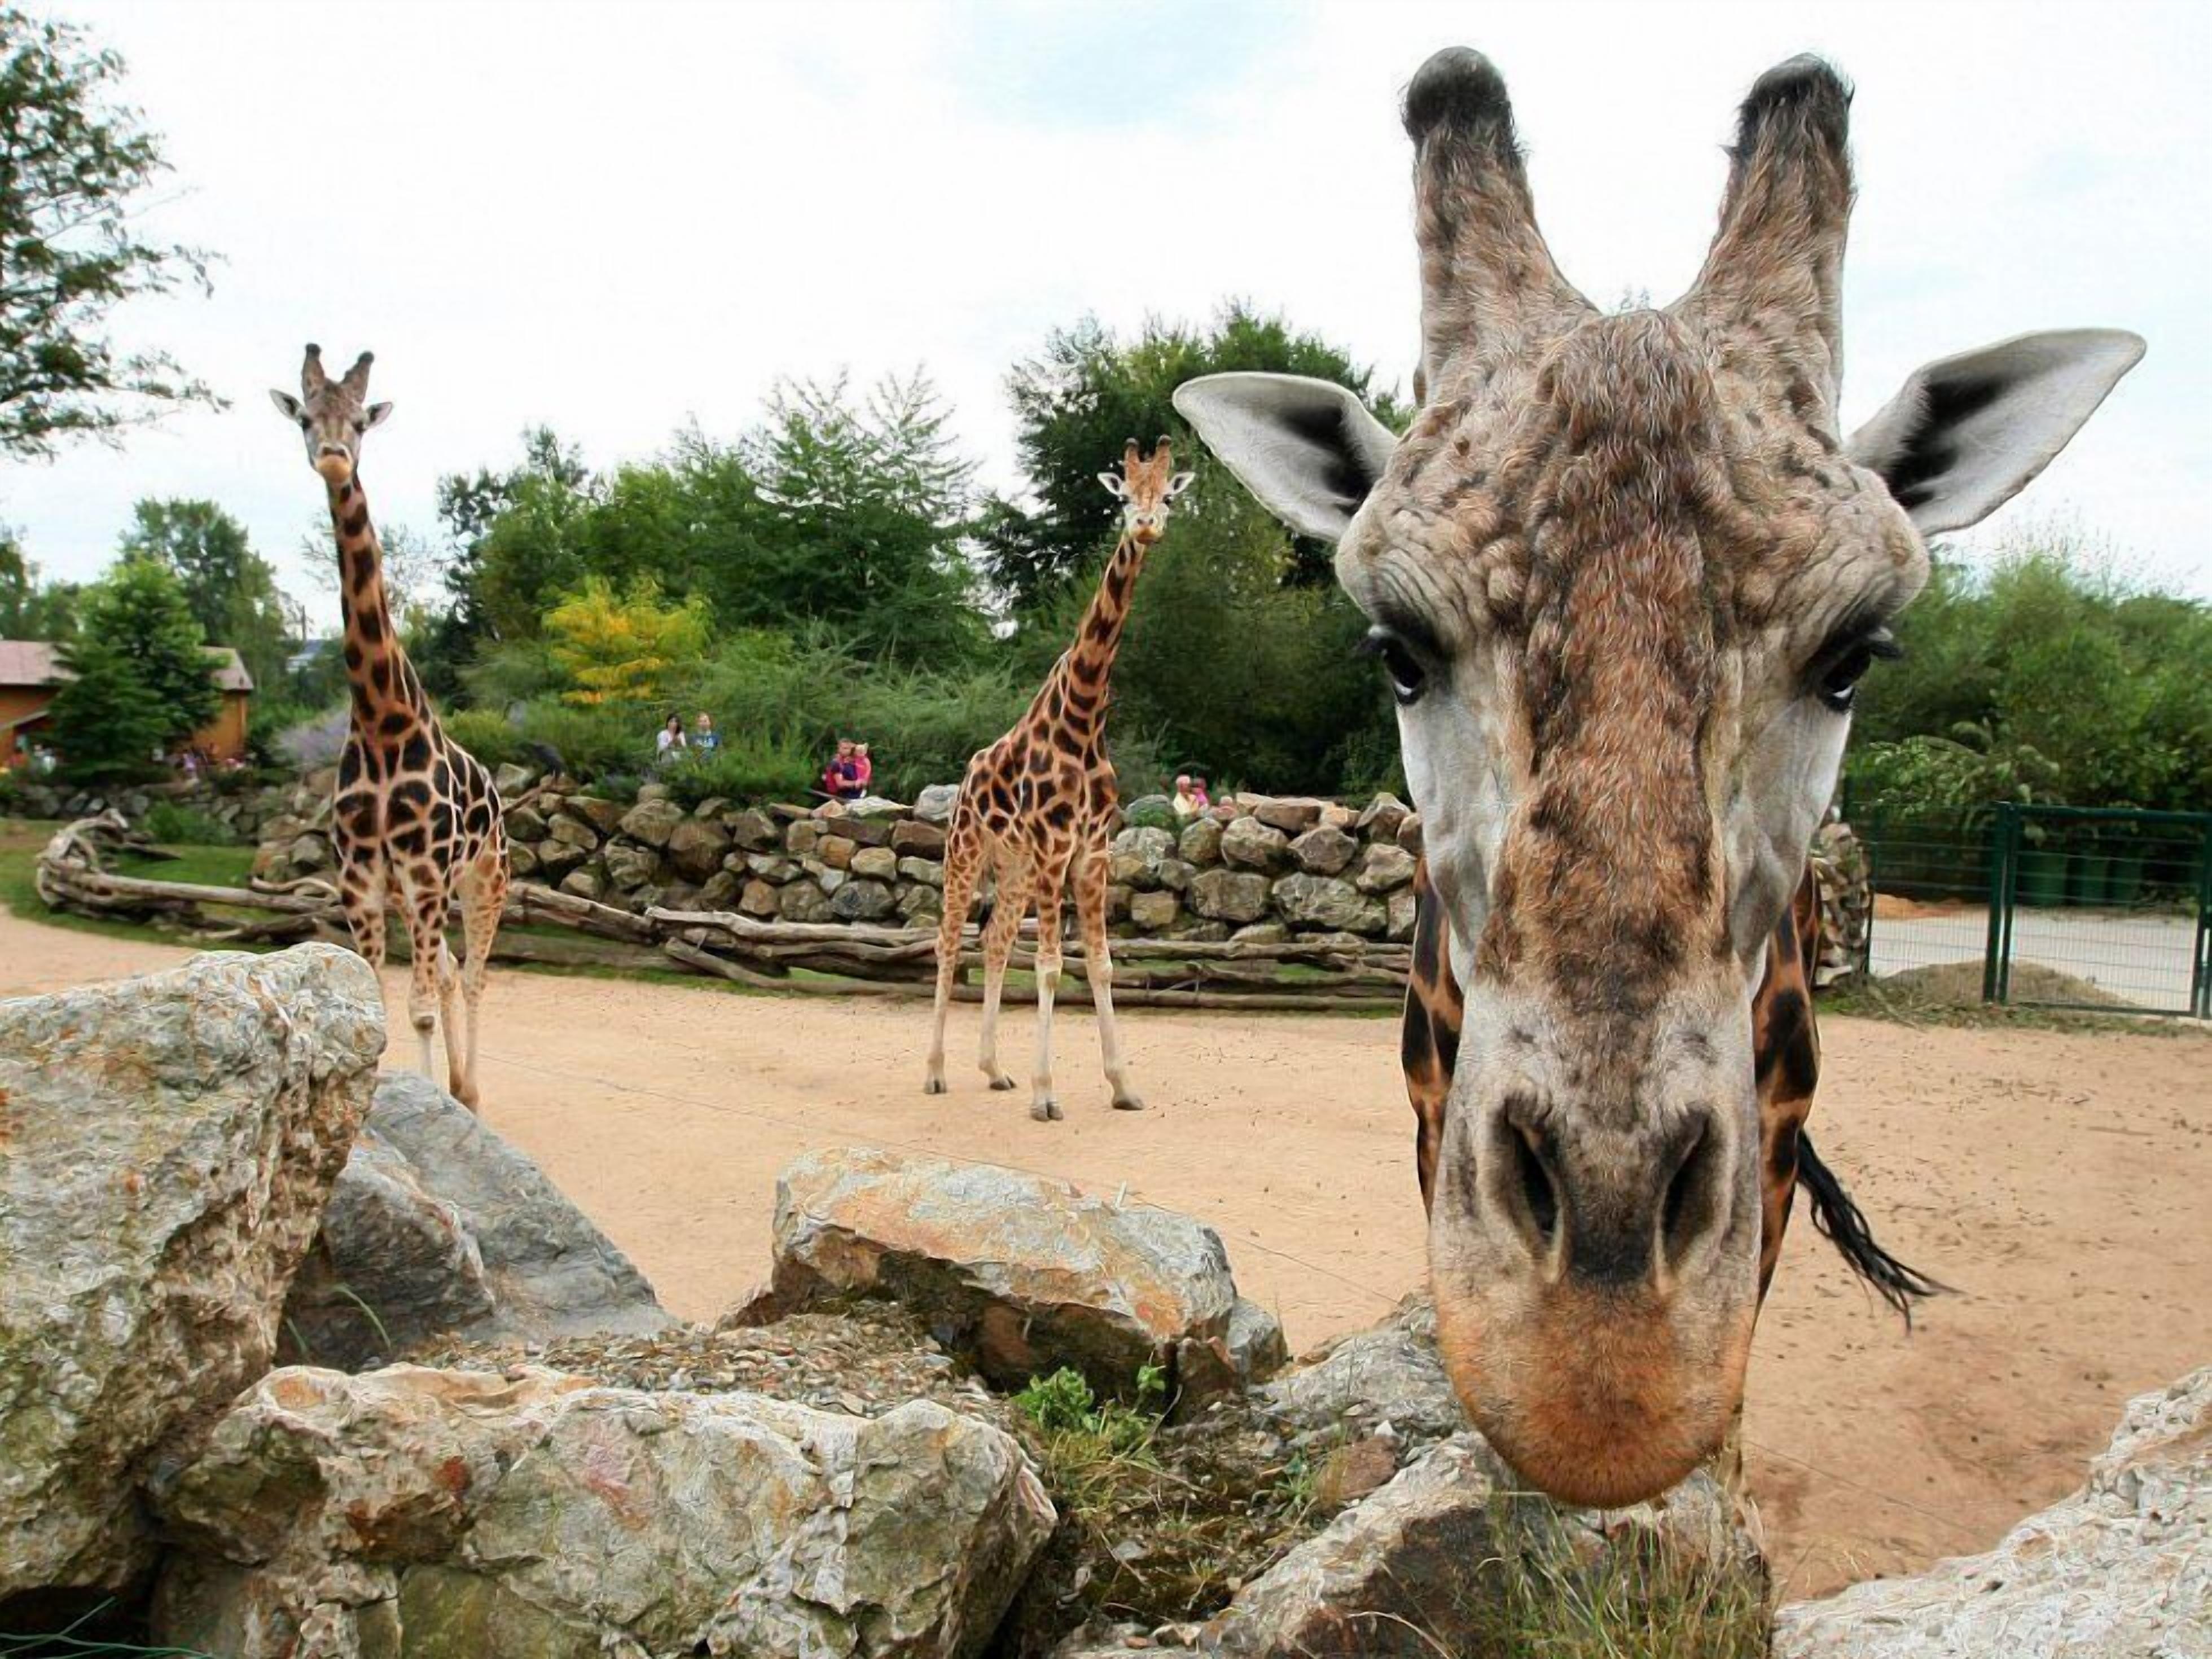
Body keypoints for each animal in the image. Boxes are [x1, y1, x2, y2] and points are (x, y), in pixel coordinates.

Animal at [269, 345, 510, 1111]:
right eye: (307, 419)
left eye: (360, 422)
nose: (334, 458)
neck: (382, 722)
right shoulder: (361, 878)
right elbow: (374, 1005)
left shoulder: (428, 873)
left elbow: (422, 1006)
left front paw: (433, 1098)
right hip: (413, 896)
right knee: (449, 968)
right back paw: (456, 1087)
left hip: (484, 880)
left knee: (471, 975)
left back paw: (470, 1093)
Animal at [925, 439, 1191, 1122]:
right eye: (1122, 496)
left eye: (1167, 495)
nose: (1145, 525)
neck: (1084, 716)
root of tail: (965, 779)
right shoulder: (1054, 849)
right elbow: (1048, 965)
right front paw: (1047, 1094)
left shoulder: (1090, 854)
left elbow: (1099, 965)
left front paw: (1122, 1086)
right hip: (967, 852)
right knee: (947, 941)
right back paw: (935, 1073)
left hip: (1014, 868)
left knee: (993, 941)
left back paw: (993, 1071)